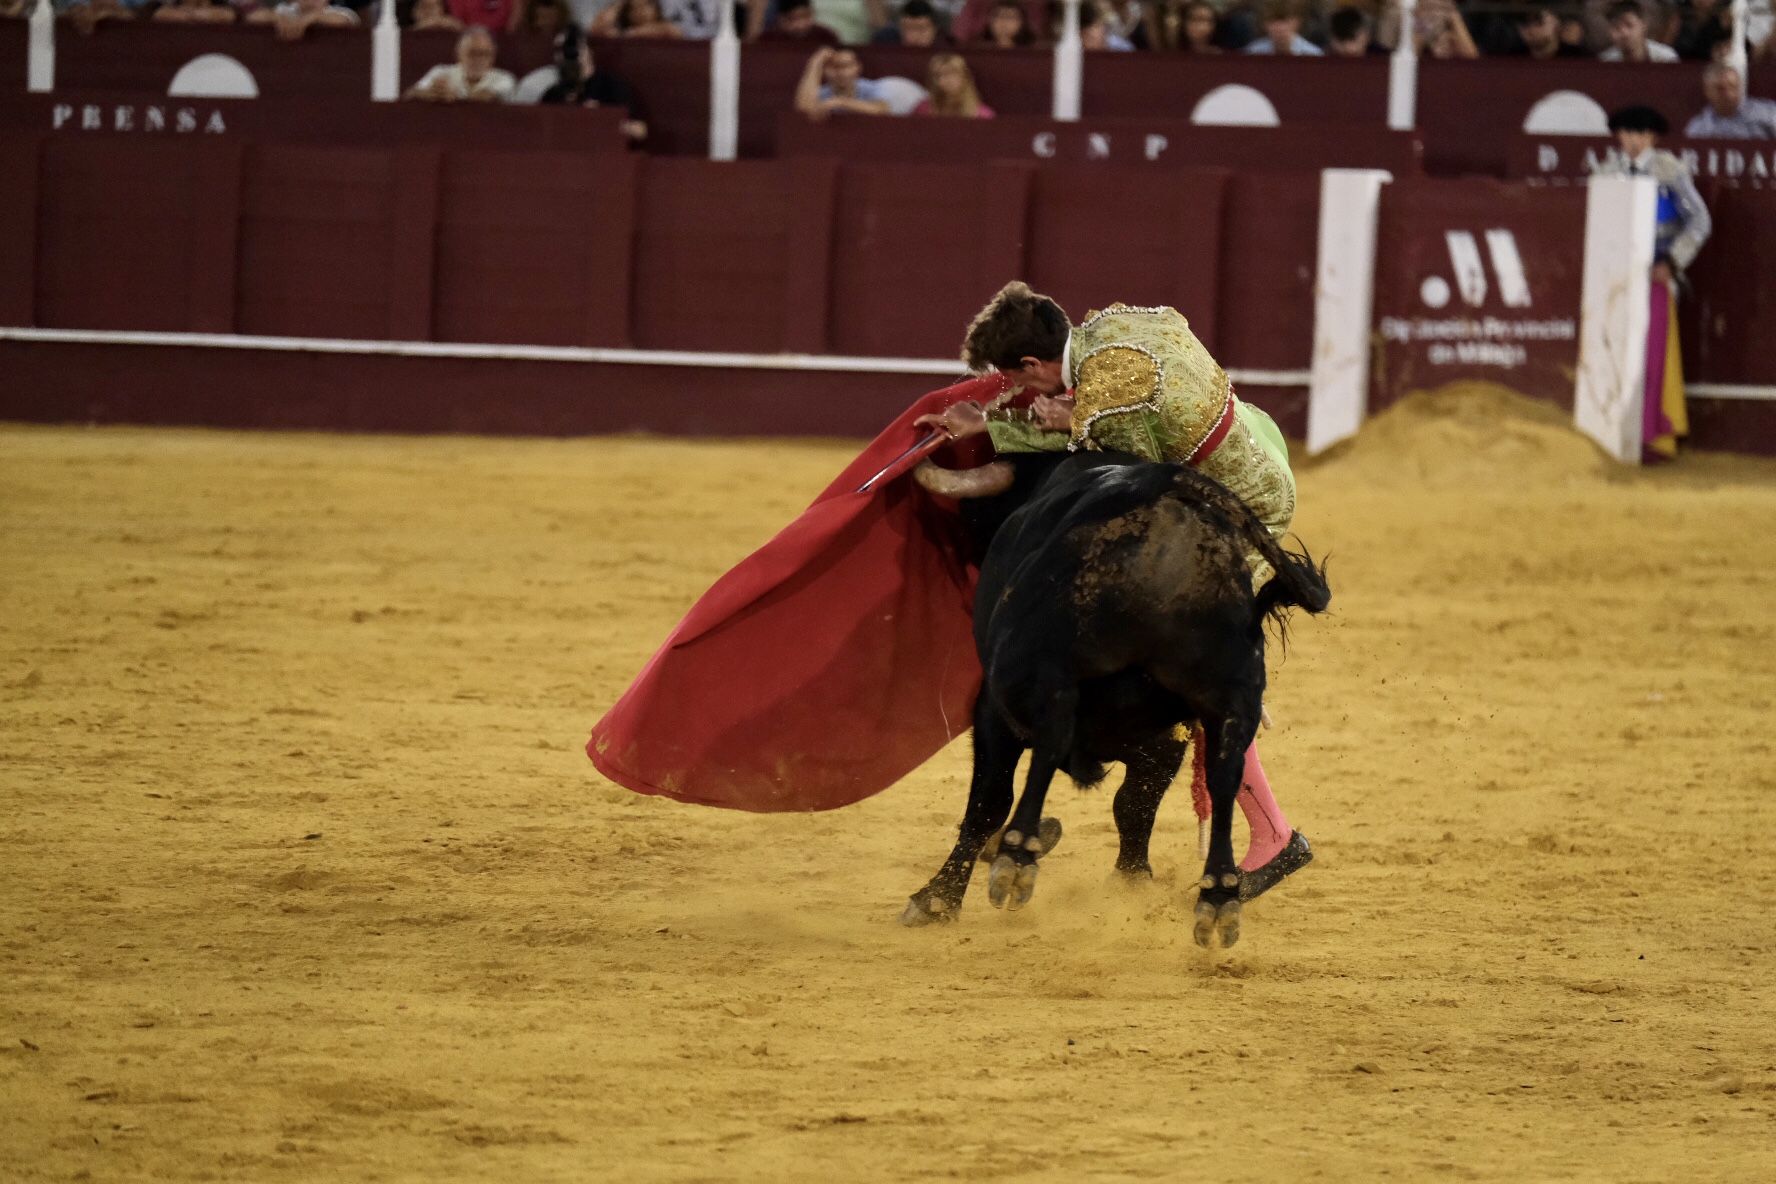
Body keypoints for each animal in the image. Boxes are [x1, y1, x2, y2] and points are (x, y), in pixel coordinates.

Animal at [902, 449, 1335, 951]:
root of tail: (1169, 501)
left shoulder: (992, 709)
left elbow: (988, 802)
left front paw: (937, 898)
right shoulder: (1167, 739)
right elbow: (1134, 805)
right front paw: (1131, 883)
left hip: (1034, 668)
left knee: (1048, 743)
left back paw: (1017, 856)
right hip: (1233, 699)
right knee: (1225, 778)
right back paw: (1221, 896)